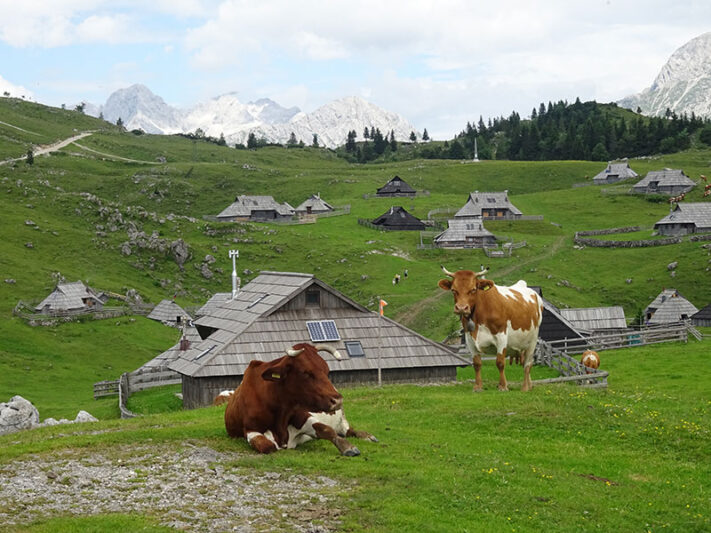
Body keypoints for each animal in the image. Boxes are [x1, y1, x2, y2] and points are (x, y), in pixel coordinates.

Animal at [224, 343, 377, 456]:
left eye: (327, 370)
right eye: (306, 373)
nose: (337, 400)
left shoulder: (304, 417)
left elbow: (326, 429)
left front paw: (347, 447)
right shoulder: (251, 430)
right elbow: (268, 446)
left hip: (341, 419)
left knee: (347, 430)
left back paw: (367, 436)